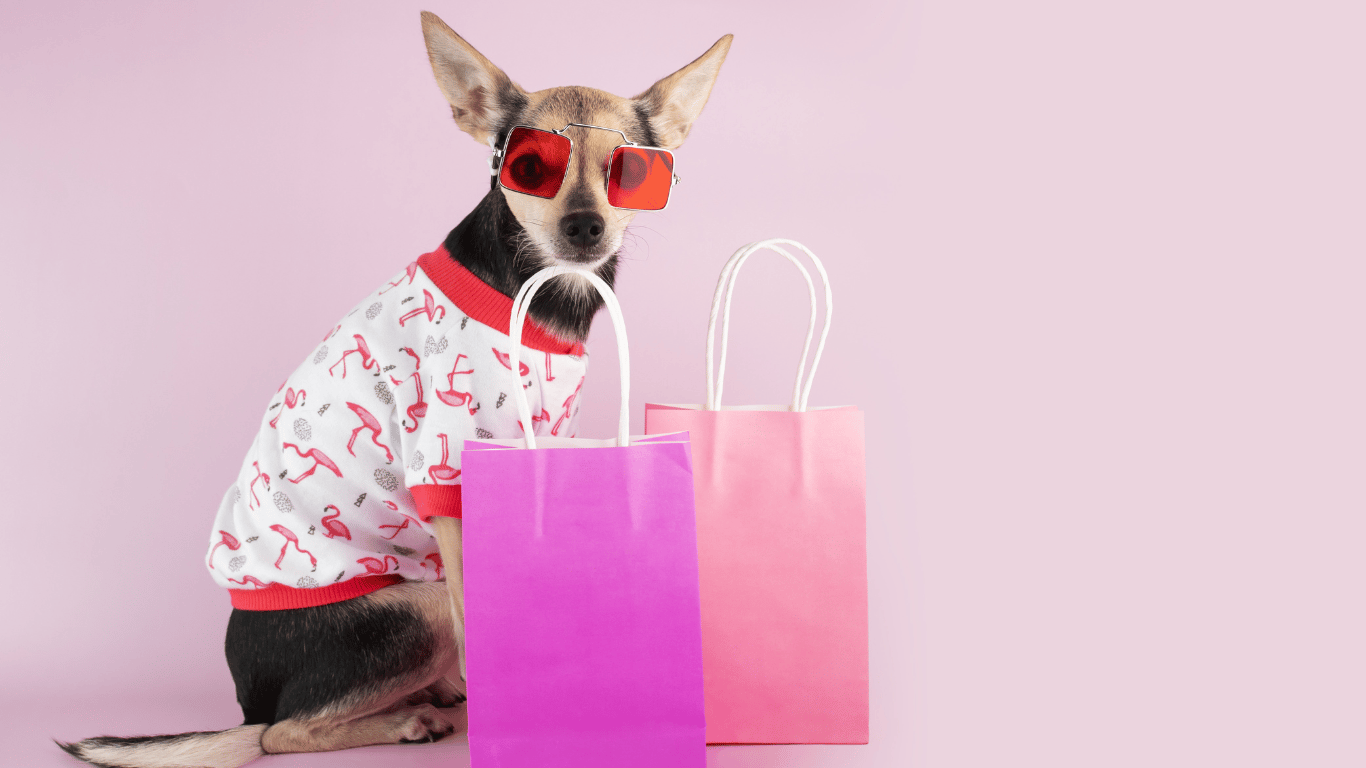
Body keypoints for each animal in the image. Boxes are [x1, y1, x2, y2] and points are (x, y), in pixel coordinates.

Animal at [61, 11, 737, 765]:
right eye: (530, 168)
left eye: (632, 171)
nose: (585, 226)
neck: (539, 293)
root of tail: (245, 694)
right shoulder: (447, 473)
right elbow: (480, 609)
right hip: (418, 605)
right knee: (280, 732)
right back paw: (411, 717)